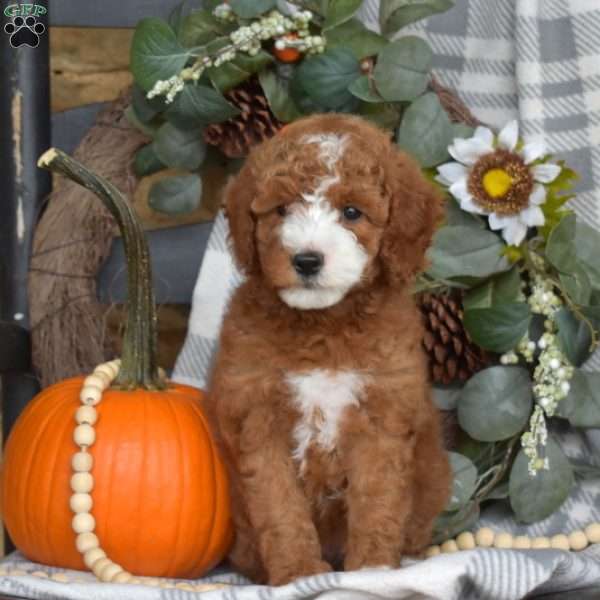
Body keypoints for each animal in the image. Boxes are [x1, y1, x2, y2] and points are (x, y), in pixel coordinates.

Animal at [206, 113, 450, 584]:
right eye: (282, 209)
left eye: (351, 212)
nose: (306, 259)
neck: (322, 325)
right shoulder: (259, 419)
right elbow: (280, 507)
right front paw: (298, 572)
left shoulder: (381, 417)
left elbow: (378, 502)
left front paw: (373, 568)